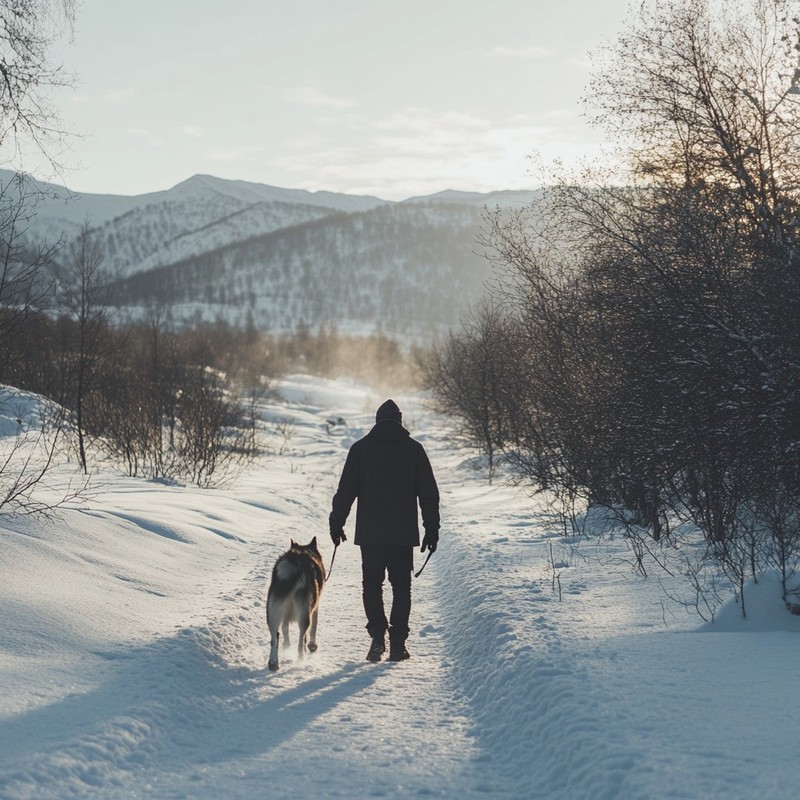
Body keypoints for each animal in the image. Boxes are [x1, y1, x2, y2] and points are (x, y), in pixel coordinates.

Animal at [264, 536, 324, 668]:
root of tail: (296, 564)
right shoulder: (315, 608)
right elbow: (313, 627)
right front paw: (312, 645)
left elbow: (285, 628)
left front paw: (286, 645)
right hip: (304, 613)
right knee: (301, 638)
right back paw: (301, 658)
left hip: (273, 611)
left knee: (275, 637)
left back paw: (273, 662)